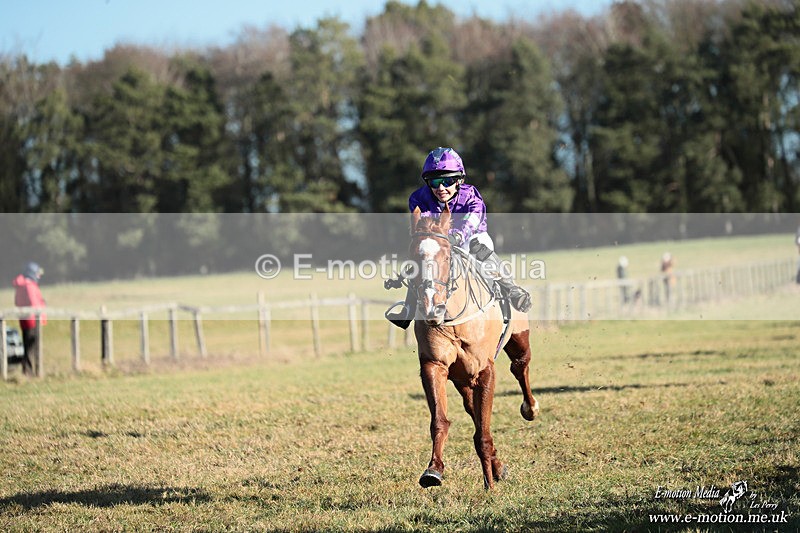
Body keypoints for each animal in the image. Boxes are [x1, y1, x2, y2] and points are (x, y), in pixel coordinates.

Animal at [404, 206, 539, 489]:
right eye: (411, 259)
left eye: (446, 256)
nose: (432, 305)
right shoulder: (435, 365)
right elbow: (440, 421)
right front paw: (433, 470)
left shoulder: (485, 370)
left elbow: (483, 432)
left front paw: (489, 486)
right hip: (461, 377)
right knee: (471, 408)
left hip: (518, 338)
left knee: (520, 366)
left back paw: (530, 408)